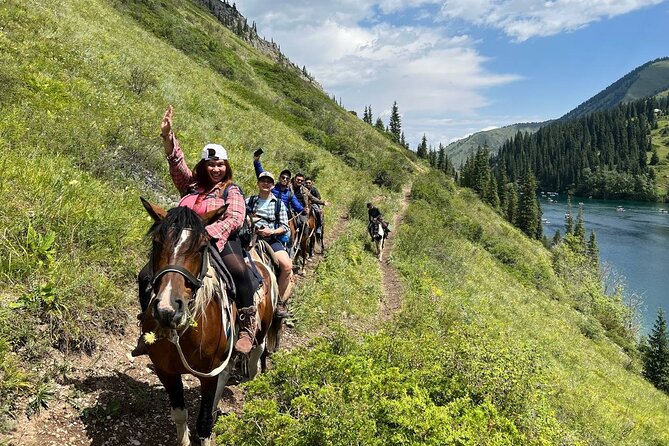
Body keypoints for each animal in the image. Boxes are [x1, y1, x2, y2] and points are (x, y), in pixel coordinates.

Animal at [140, 199, 276, 446]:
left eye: (202, 247)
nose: (167, 309)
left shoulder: (209, 374)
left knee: (255, 356)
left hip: (260, 333)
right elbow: (180, 414)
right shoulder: (166, 371)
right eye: (156, 243)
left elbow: (202, 422)